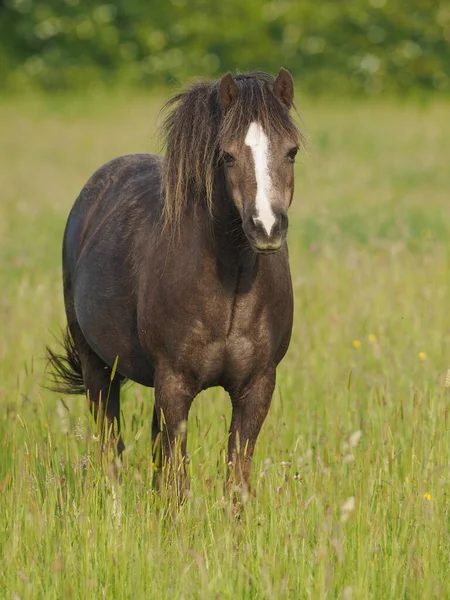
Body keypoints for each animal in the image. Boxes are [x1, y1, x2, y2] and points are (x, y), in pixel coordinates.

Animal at [47, 68, 302, 494]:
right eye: (227, 155)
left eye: (291, 151)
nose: (266, 228)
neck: (230, 288)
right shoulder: (174, 384)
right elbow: (176, 482)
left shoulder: (256, 387)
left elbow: (235, 480)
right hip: (97, 366)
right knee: (110, 448)